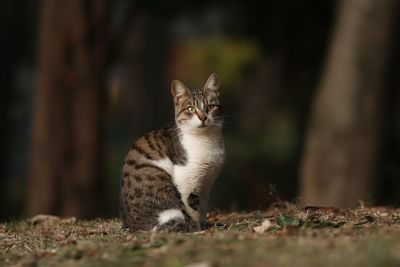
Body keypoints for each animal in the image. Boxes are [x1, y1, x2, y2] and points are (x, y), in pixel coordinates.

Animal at [119, 73, 225, 232]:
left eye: (211, 107)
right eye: (191, 109)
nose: (203, 117)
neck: (206, 140)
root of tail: (131, 226)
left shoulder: (206, 184)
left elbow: (202, 210)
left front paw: (204, 227)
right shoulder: (186, 182)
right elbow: (191, 211)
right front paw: (197, 231)